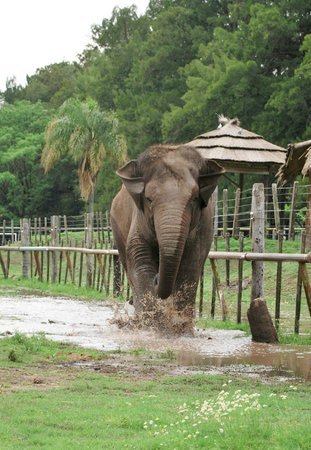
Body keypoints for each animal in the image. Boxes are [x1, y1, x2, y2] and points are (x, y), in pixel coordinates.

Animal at [110, 144, 224, 330]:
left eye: (194, 199)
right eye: (148, 199)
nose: (157, 278)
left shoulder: (203, 225)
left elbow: (191, 265)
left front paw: (179, 328)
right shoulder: (139, 221)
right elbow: (141, 261)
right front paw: (151, 325)